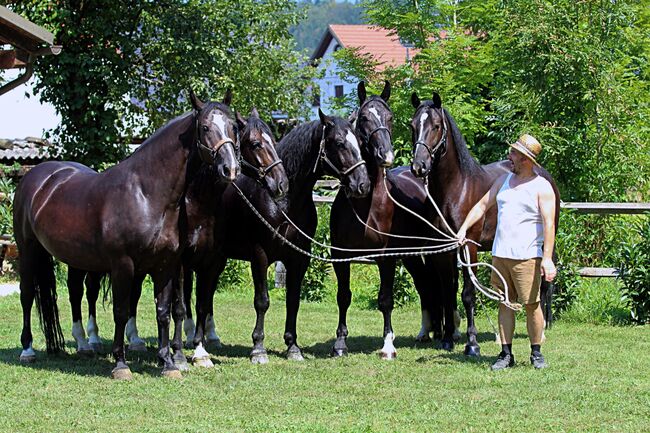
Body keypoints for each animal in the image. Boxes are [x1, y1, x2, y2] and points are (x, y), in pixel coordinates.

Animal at [13, 92, 238, 378]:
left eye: (234, 127)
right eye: (206, 128)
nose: (230, 169)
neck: (146, 193)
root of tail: (36, 177)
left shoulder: (166, 265)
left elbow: (163, 311)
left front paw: (168, 364)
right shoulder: (123, 265)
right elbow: (121, 311)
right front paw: (120, 364)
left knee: (74, 293)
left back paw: (83, 344)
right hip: (27, 250)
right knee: (27, 295)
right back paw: (27, 350)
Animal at [186, 108, 370, 364]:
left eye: (359, 143)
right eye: (339, 143)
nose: (363, 184)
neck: (283, 202)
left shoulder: (299, 257)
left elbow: (293, 300)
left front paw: (293, 346)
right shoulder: (260, 255)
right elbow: (262, 301)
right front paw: (258, 348)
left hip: (217, 259)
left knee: (207, 293)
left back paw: (211, 338)